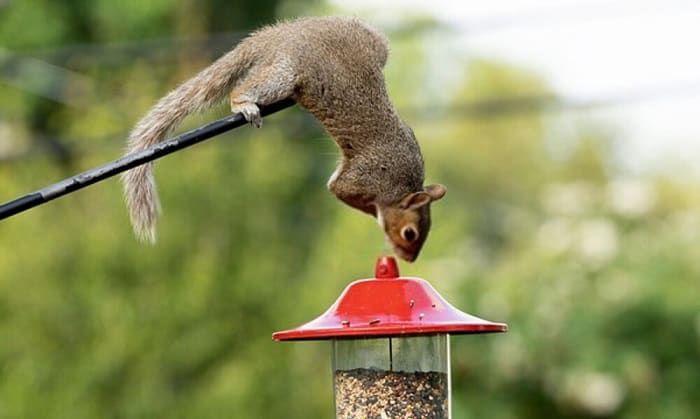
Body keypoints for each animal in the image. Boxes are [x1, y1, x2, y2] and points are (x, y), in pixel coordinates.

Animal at [122, 16, 446, 262]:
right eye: (410, 233)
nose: (409, 260)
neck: (401, 185)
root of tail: (280, 35)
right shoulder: (364, 177)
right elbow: (340, 189)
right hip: (285, 73)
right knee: (244, 89)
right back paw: (243, 104)